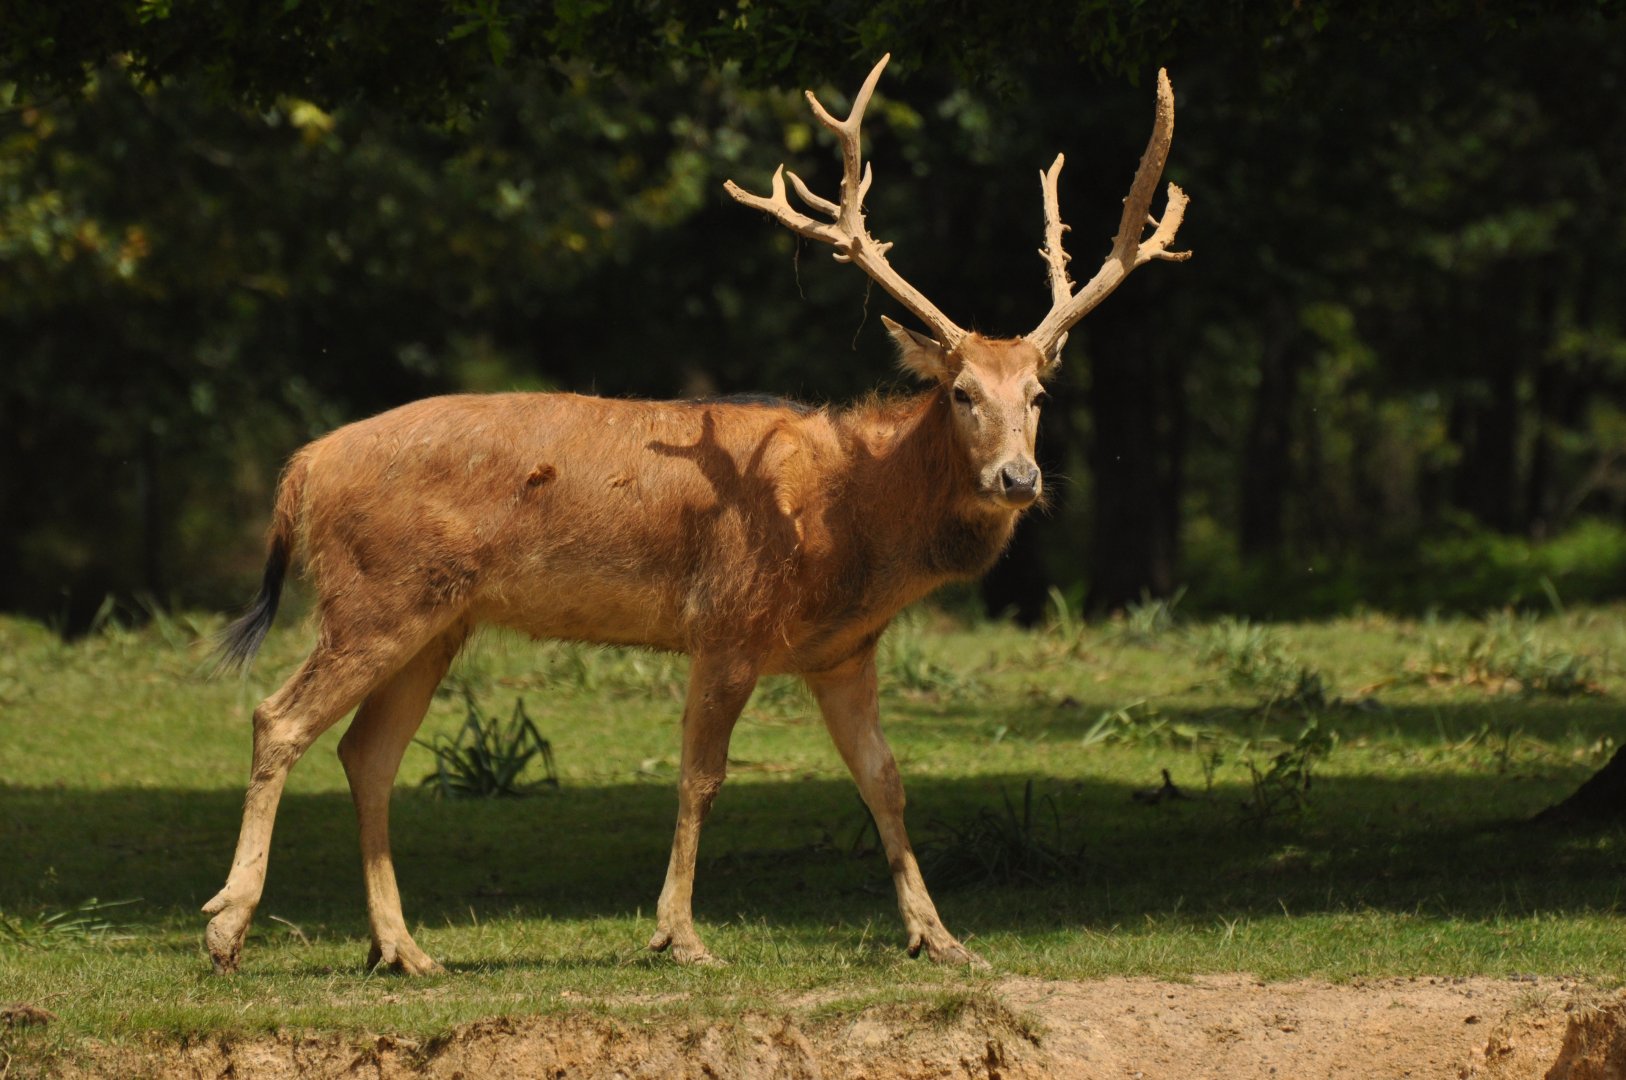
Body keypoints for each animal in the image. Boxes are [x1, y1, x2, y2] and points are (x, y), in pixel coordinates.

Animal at [203, 54, 1189, 975]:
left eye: (1039, 394)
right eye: (959, 392)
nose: (1019, 478)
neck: (852, 527)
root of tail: (301, 468)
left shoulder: (841, 652)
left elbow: (886, 781)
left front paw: (939, 938)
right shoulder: (728, 619)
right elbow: (701, 778)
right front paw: (678, 935)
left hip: (436, 619)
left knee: (367, 753)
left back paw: (400, 948)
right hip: (375, 595)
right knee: (277, 719)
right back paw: (227, 928)